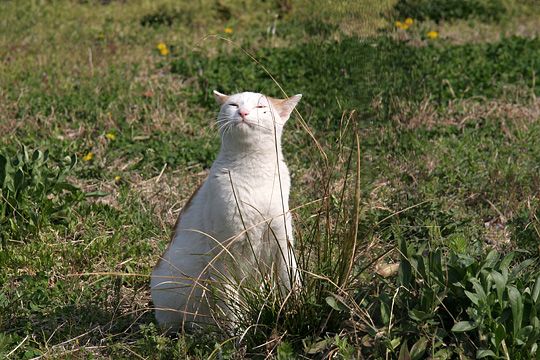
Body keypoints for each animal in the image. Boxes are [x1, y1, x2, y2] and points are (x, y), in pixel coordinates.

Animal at [150, 90, 302, 332]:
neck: (253, 171)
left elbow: (291, 281)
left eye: (260, 107)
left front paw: (294, 311)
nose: (243, 112)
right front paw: (239, 333)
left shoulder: (282, 242)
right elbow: (231, 304)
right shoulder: (223, 253)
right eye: (233, 105)